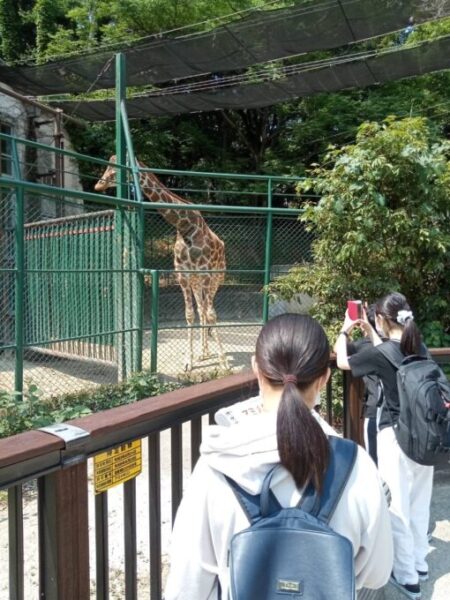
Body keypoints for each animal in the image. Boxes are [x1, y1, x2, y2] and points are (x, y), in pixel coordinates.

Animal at [95, 156, 228, 371]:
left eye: (114, 168)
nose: (99, 184)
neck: (186, 227)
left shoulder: (206, 273)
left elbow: (212, 314)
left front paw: (224, 362)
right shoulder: (183, 276)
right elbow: (190, 315)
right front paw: (189, 361)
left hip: (217, 278)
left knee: (208, 310)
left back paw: (210, 352)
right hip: (197, 282)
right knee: (201, 310)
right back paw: (204, 353)